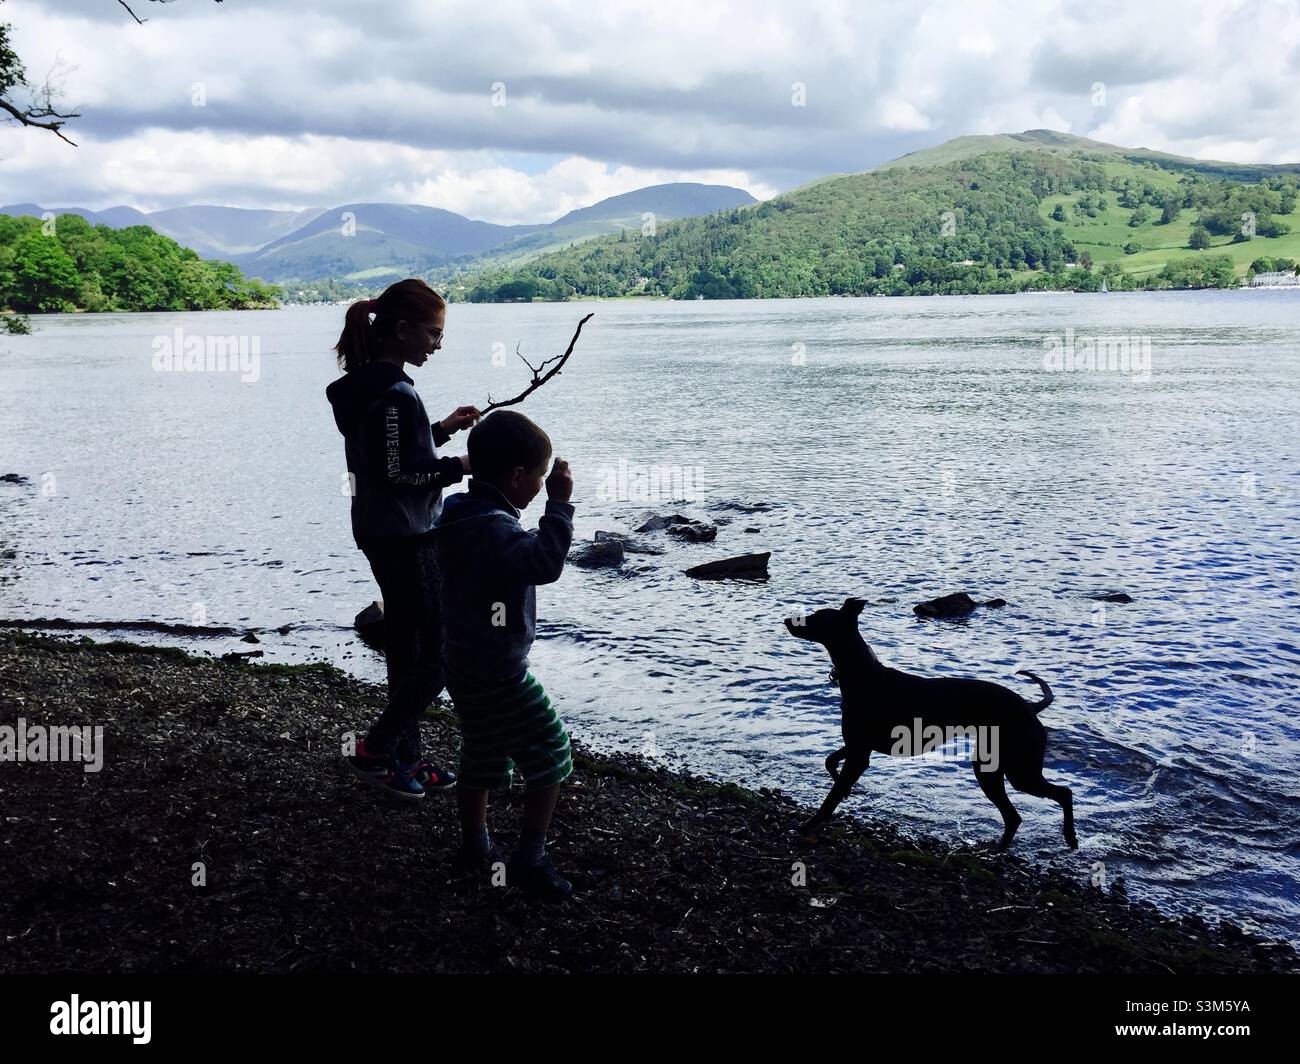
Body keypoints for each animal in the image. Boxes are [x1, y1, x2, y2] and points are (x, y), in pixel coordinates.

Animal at [780, 598, 1076, 848]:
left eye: (817, 617)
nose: (786, 620)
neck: (862, 673)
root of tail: (1030, 707)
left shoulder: (859, 755)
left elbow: (830, 799)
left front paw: (809, 824)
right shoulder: (858, 747)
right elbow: (830, 761)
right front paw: (845, 790)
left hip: (1018, 770)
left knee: (1062, 793)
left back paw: (1070, 838)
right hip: (990, 767)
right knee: (1014, 816)